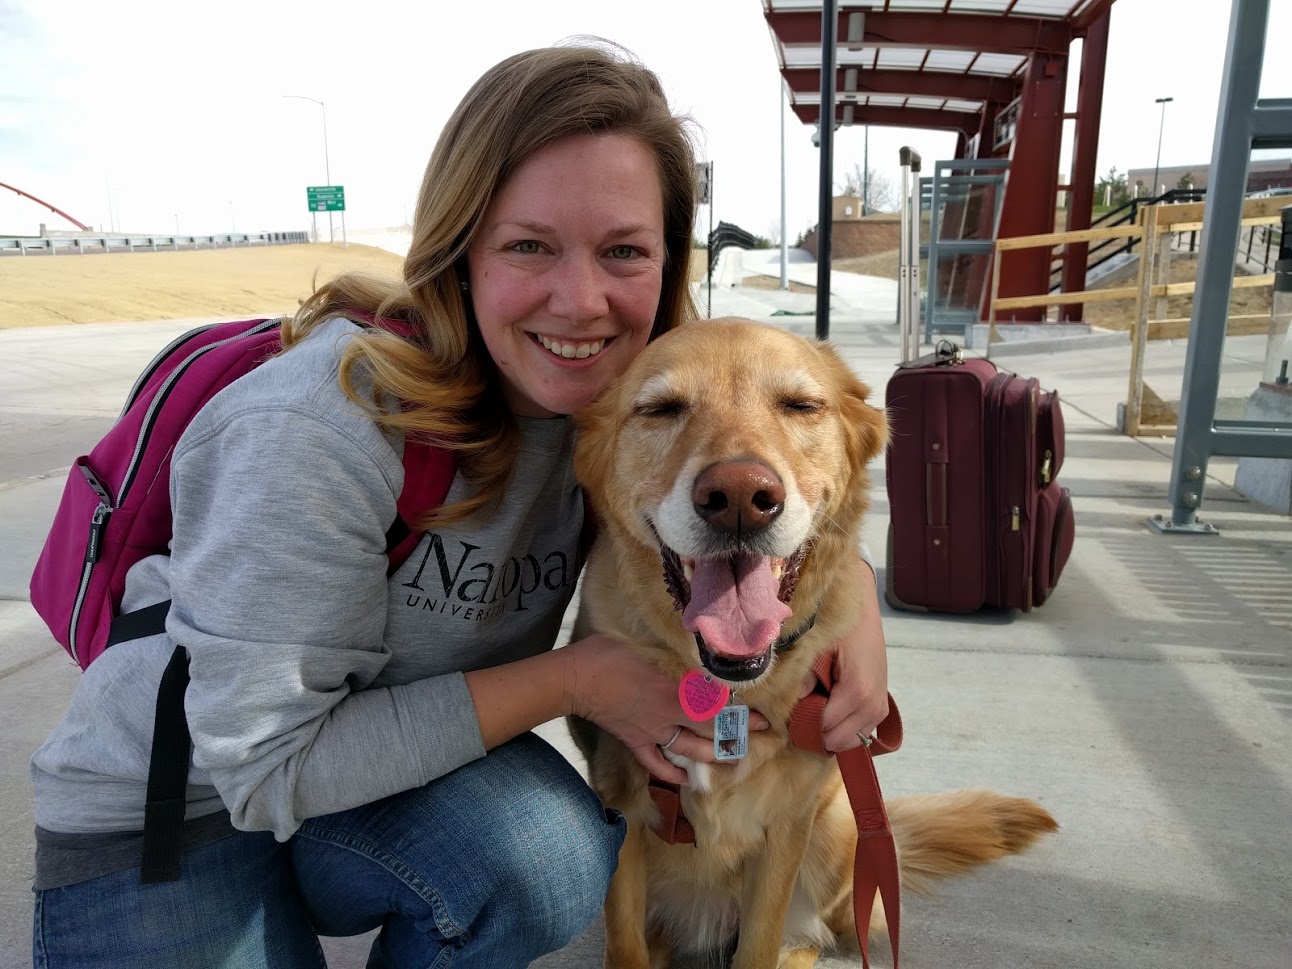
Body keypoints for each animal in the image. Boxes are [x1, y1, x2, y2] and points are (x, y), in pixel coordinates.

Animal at [571, 320, 1054, 969]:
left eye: (800, 406)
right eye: (661, 409)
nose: (740, 497)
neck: (729, 692)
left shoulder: (788, 826)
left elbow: (760, 942)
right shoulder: (620, 809)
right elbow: (625, 943)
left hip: (840, 828)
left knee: (812, 936)